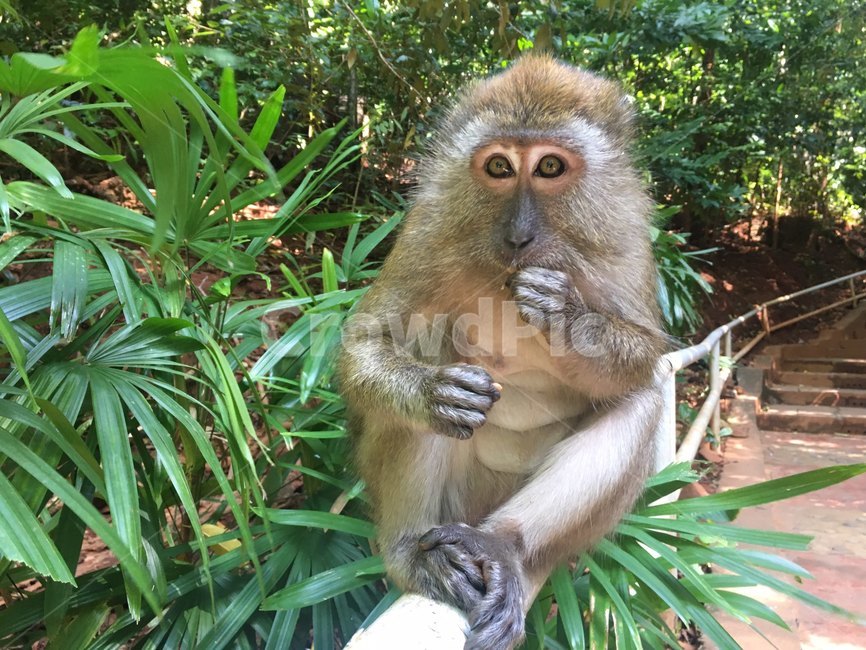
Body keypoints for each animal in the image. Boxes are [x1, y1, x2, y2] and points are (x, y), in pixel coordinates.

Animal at [338, 54, 668, 650]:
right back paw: (411, 551)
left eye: (550, 167)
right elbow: (369, 343)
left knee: (641, 401)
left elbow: (642, 356)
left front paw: (563, 316)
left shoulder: (625, 232)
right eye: (498, 167)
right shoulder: (431, 228)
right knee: (426, 388)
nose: (518, 236)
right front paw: (429, 392)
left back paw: (504, 546)